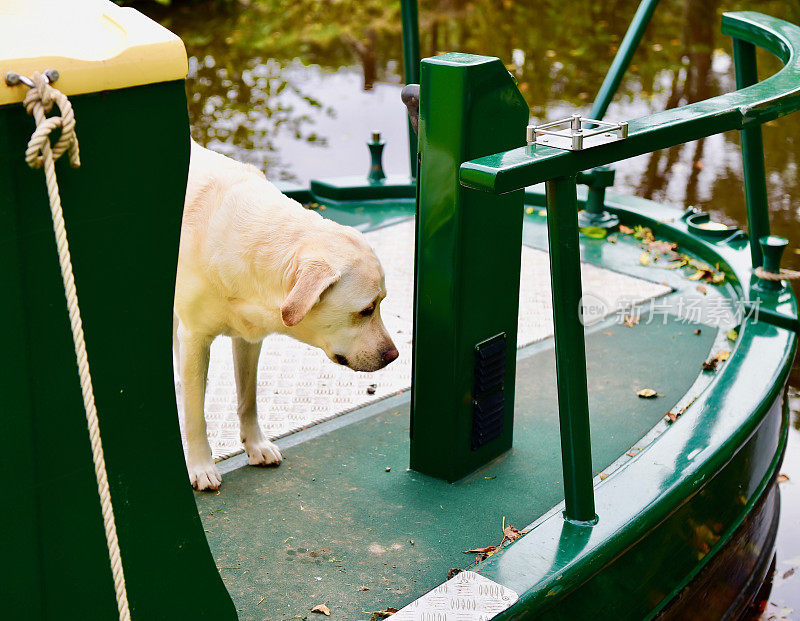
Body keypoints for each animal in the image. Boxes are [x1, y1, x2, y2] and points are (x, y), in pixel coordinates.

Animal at [176, 140, 400, 490]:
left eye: (382, 302)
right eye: (366, 310)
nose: (394, 355)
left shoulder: (248, 338)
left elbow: (248, 398)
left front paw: (255, 445)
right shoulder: (195, 336)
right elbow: (196, 414)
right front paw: (200, 465)